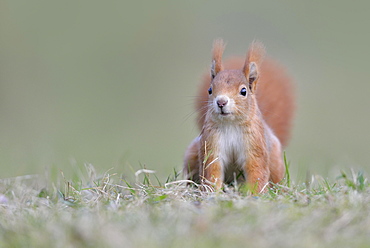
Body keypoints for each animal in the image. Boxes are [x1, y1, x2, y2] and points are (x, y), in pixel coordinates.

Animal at [183, 39, 294, 194]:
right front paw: (212, 192)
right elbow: (212, 169)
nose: (221, 102)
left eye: (243, 91)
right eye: (210, 90)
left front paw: (256, 194)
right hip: (193, 153)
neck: (231, 124)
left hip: (275, 161)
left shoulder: (255, 145)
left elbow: (256, 170)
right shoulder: (211, 143)